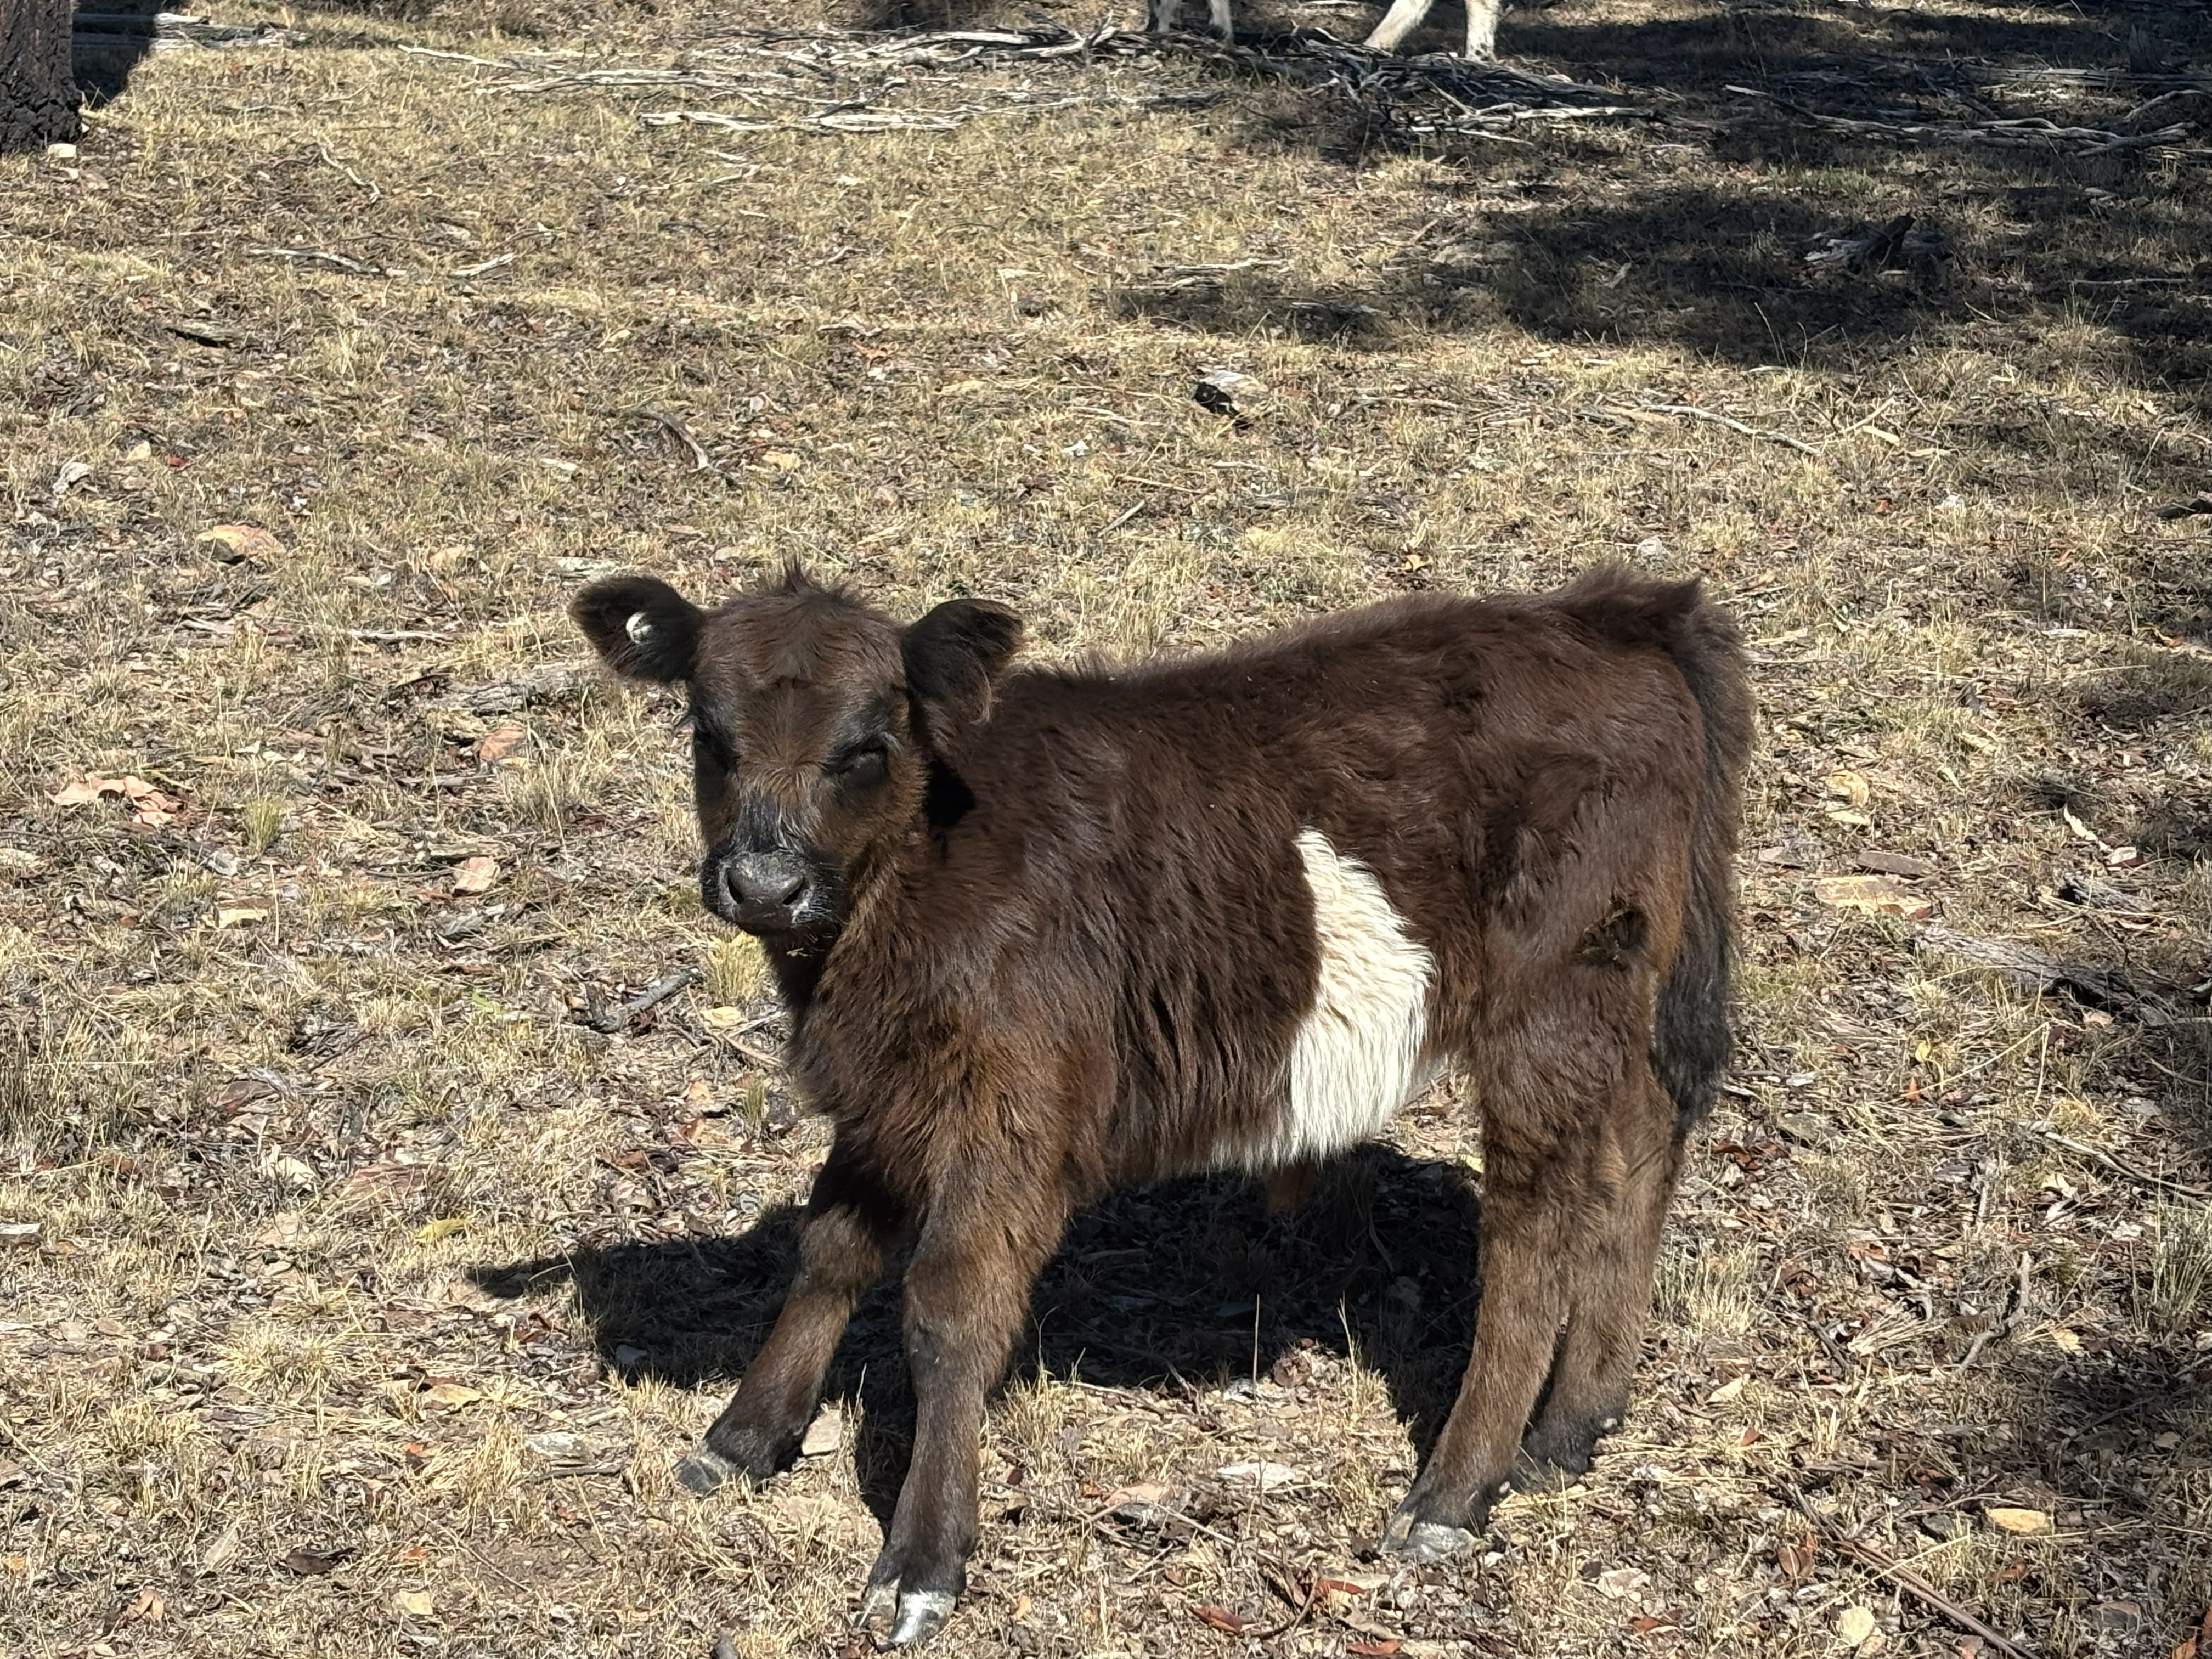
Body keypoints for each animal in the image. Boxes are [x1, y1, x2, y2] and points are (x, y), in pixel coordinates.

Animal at [572, 564, 1751, 1645]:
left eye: (867, 743)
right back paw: (1571, 1426)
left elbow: (948, 1310)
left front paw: (921, 1562)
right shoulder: (887, 1094)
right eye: (708, 733)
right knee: (1639, 1151)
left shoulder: (1014, 1104)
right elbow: (827, 1251)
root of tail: (1612, 609)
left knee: (1535, 1222)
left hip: (1549, 993)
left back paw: (1451, 1494)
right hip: (1623, 990)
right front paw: (740, 1436)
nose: (764, 883)